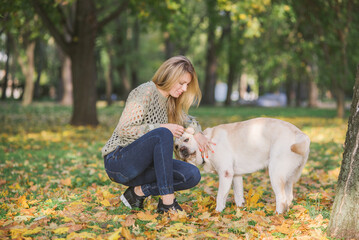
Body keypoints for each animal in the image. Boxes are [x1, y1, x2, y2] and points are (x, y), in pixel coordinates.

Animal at [176, 117, 310, 213]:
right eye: (176, 147)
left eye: (187, 140)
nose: (182, 150)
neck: (208, 141)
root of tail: (300, 134)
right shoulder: (236, 176)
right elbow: (238, 194)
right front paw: (240, 209)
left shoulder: (225, 174)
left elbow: (220, 196)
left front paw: (218, 212)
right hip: (288, 177)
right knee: (289, 197)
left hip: (275, 173)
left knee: (281, 198)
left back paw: (276, 215)